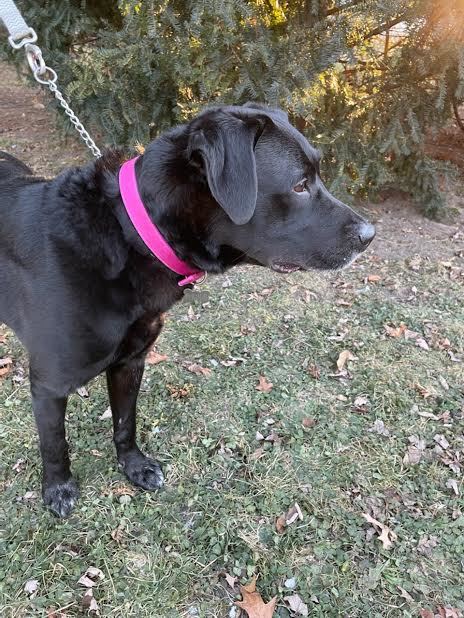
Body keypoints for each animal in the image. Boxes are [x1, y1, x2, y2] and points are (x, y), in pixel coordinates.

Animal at [0, 106, 374, 516]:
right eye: (299, 185)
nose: (370, 236)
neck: (130, 235)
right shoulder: (49, 383)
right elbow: (55, 443)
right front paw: (58, 487)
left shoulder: (130, 362)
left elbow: (125, 422)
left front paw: (134, 466)